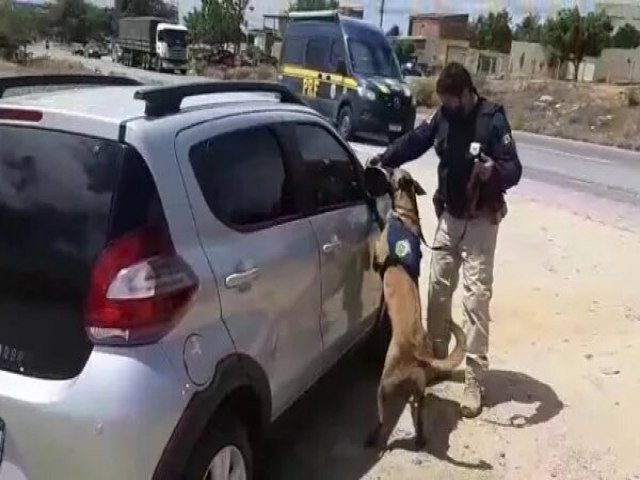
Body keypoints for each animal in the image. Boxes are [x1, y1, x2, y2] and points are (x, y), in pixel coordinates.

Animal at [368, 169, 468, 450]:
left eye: (391, 172)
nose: (378, 164)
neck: (405, 214)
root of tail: (418, 353)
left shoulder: (378, 255)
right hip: (419, 392)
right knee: (421, 418)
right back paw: (421, 439)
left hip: (384, 385)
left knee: (381, 418)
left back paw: (373, 438)